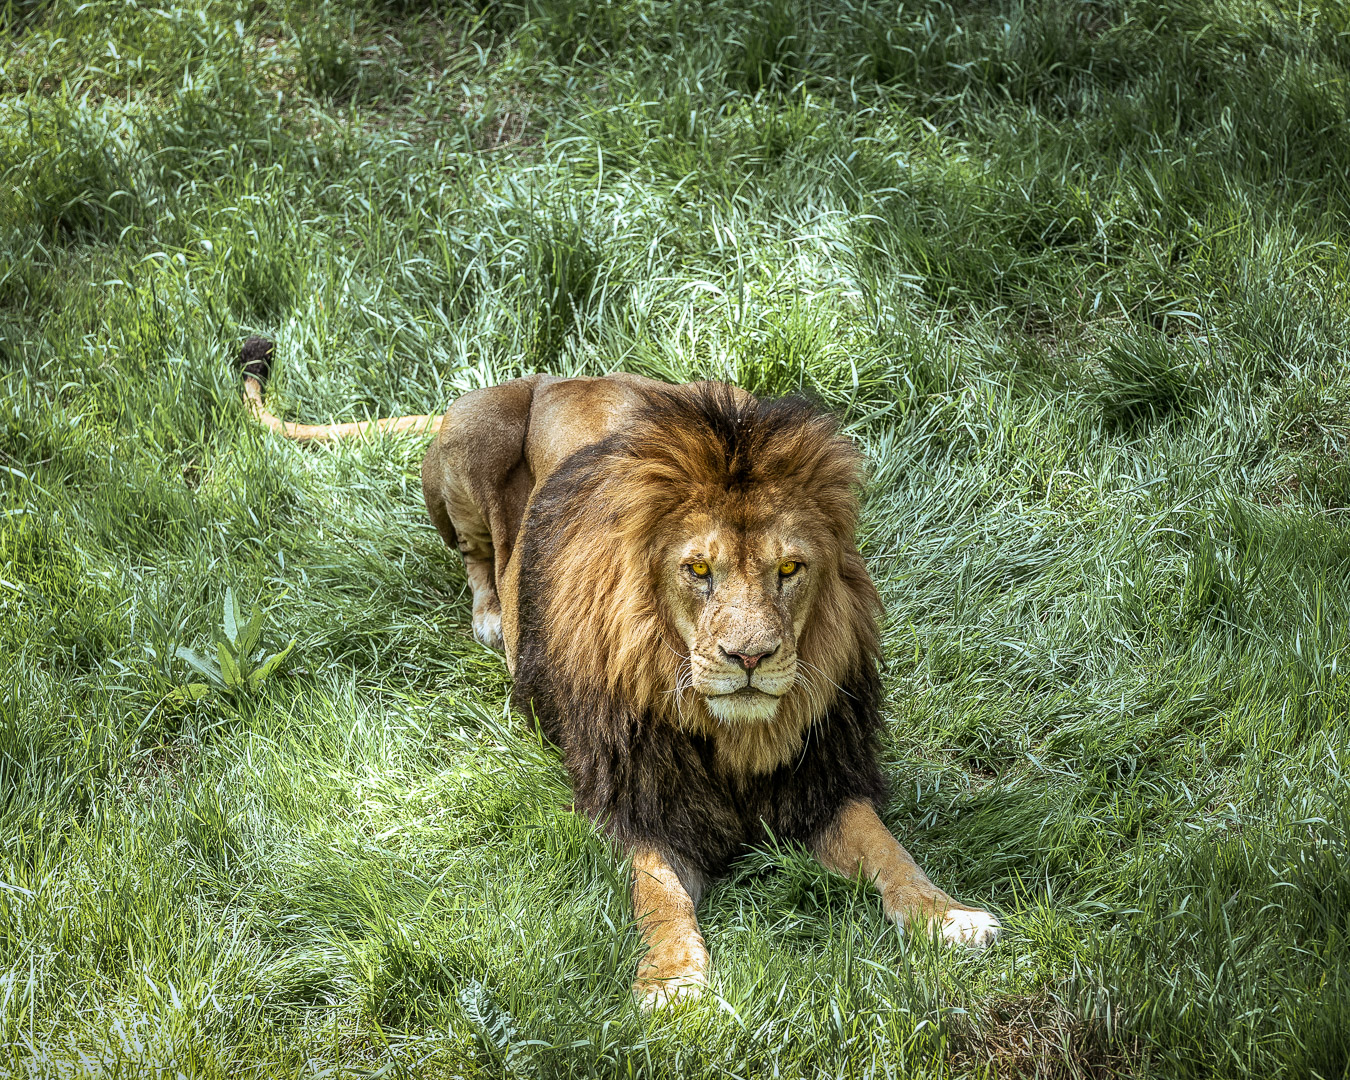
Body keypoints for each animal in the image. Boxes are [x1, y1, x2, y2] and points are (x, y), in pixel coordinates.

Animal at [243, 337, 1004, 1004]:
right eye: (698, 570)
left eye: (790, 569)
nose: (750, 658)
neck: (735, 734)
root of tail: (560, 375)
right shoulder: (636, 800)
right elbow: (657, 892)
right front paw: (672, 981)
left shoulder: (825, 779)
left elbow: (890, 853)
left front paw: (951, 916)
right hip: (472, 438)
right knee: (475, 552)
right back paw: (491, 617)